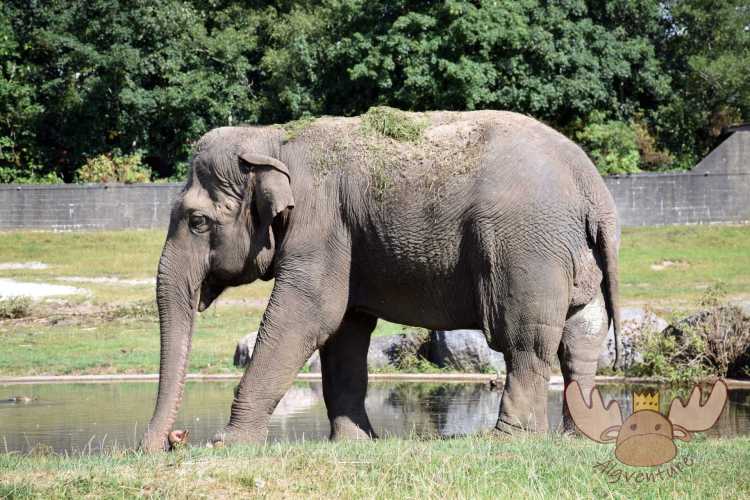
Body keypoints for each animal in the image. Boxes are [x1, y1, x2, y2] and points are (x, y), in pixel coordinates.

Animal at [141, 109, 621, 451]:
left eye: (198, 221)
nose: (171, 442)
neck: (273, 139)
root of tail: (593, 186)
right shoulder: (346, 241)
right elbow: (344, 331)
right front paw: (354, 443)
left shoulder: (321, 226)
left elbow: (307, 315)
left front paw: (225, 445)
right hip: (572, 254)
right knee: (581, 336)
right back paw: (578, 436)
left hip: (525, 251)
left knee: (524, 341)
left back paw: (506, 439)